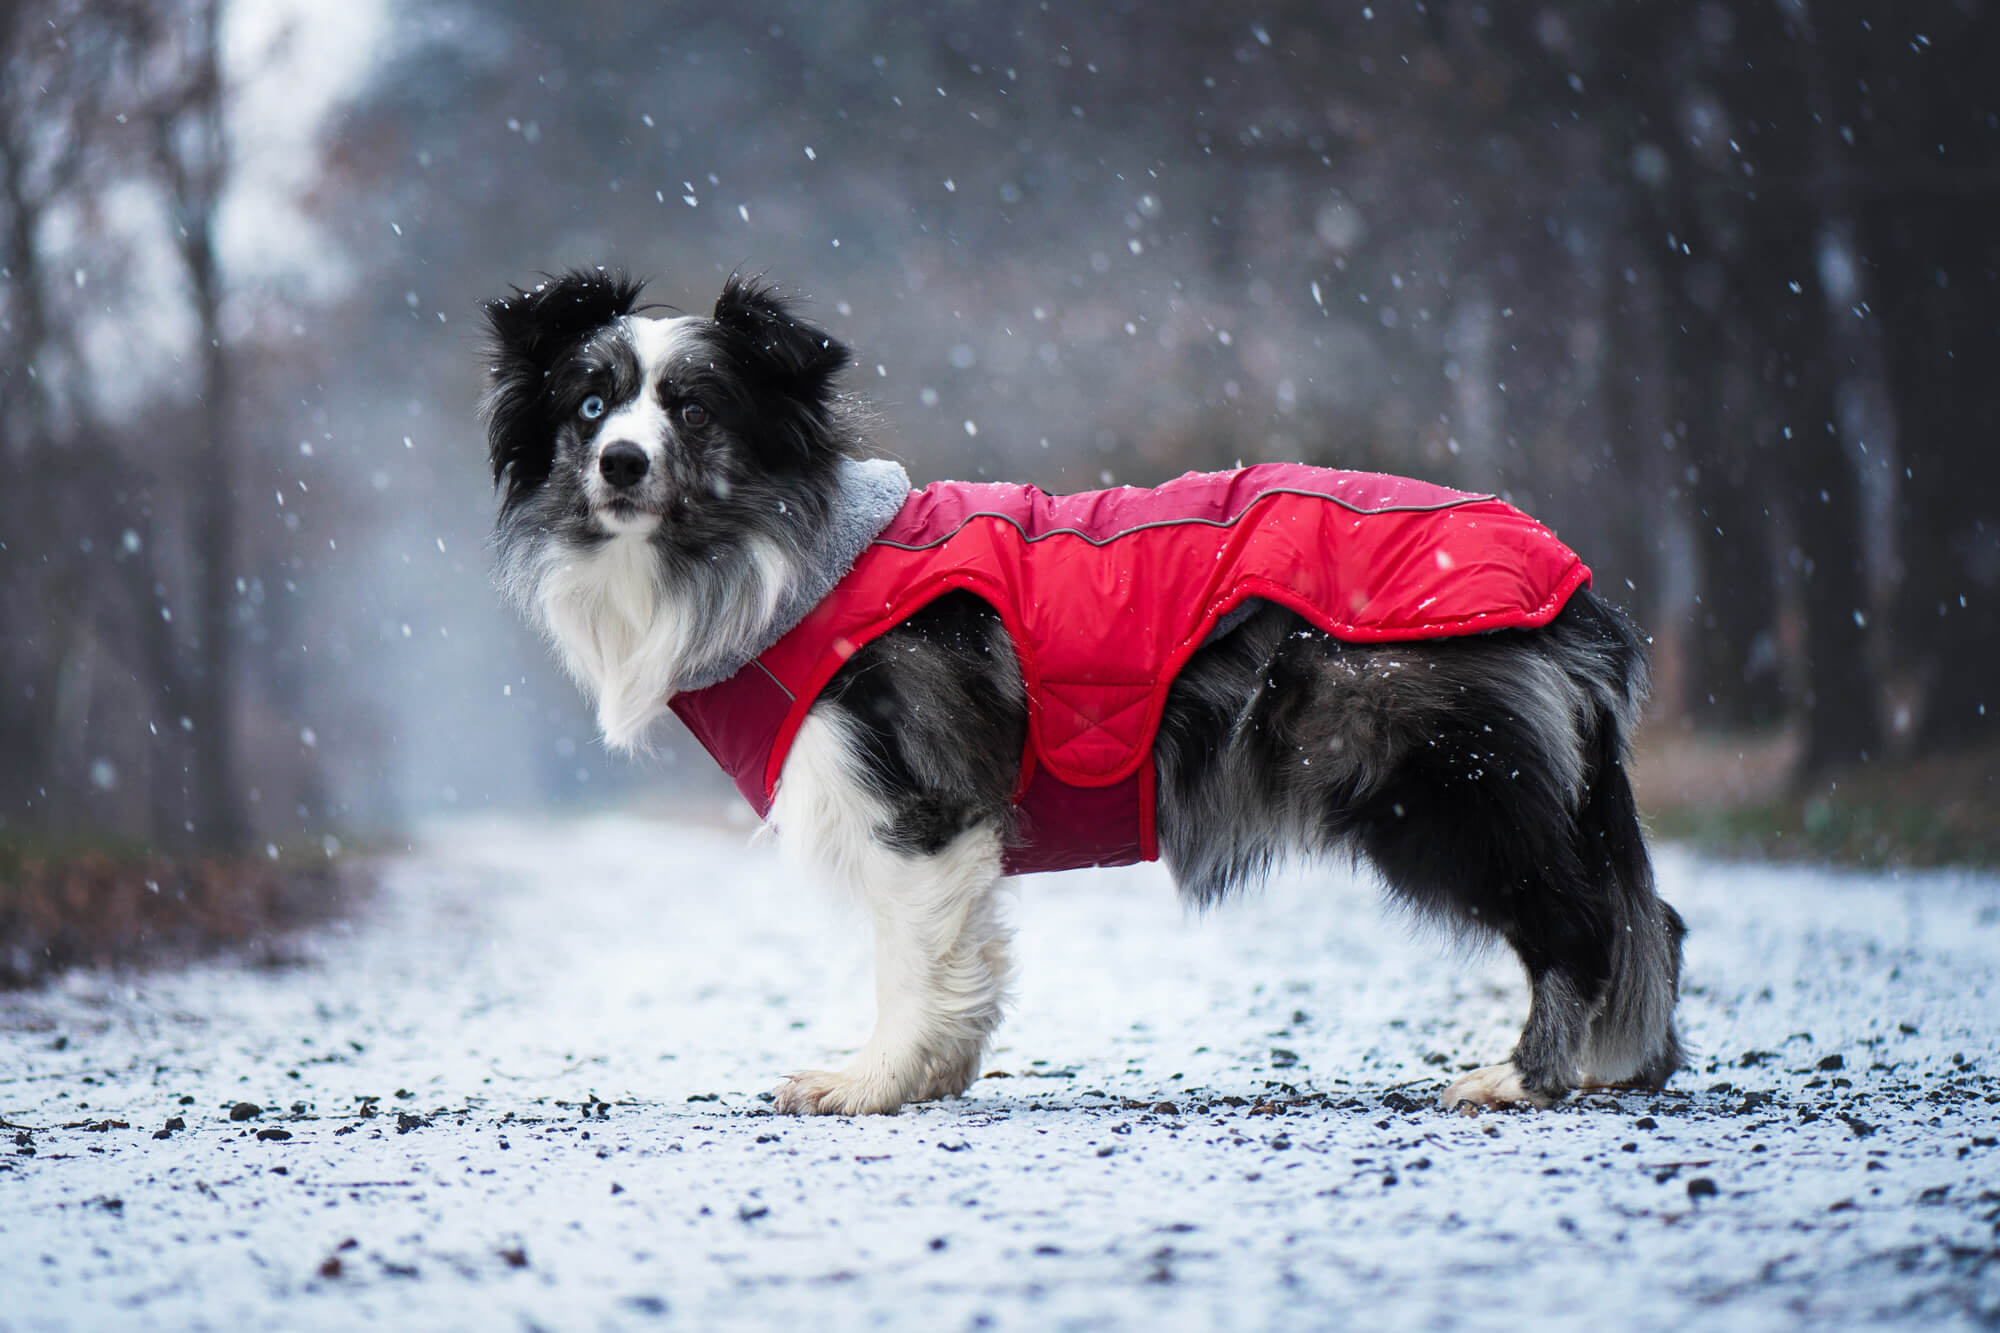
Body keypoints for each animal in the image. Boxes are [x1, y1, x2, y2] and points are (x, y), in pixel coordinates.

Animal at [484, 270, 1688, 1112]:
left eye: (693, 410)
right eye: (588, 405)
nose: (621, 464)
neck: (799, 561)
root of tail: (1573, 590)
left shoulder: (912, 790)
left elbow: (907, 957)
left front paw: (873, 1081)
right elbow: (966, 956)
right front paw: (935, 1074)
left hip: (1439, 783)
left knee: (1581, 921)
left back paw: (1525, 1077)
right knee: (1652, 918)